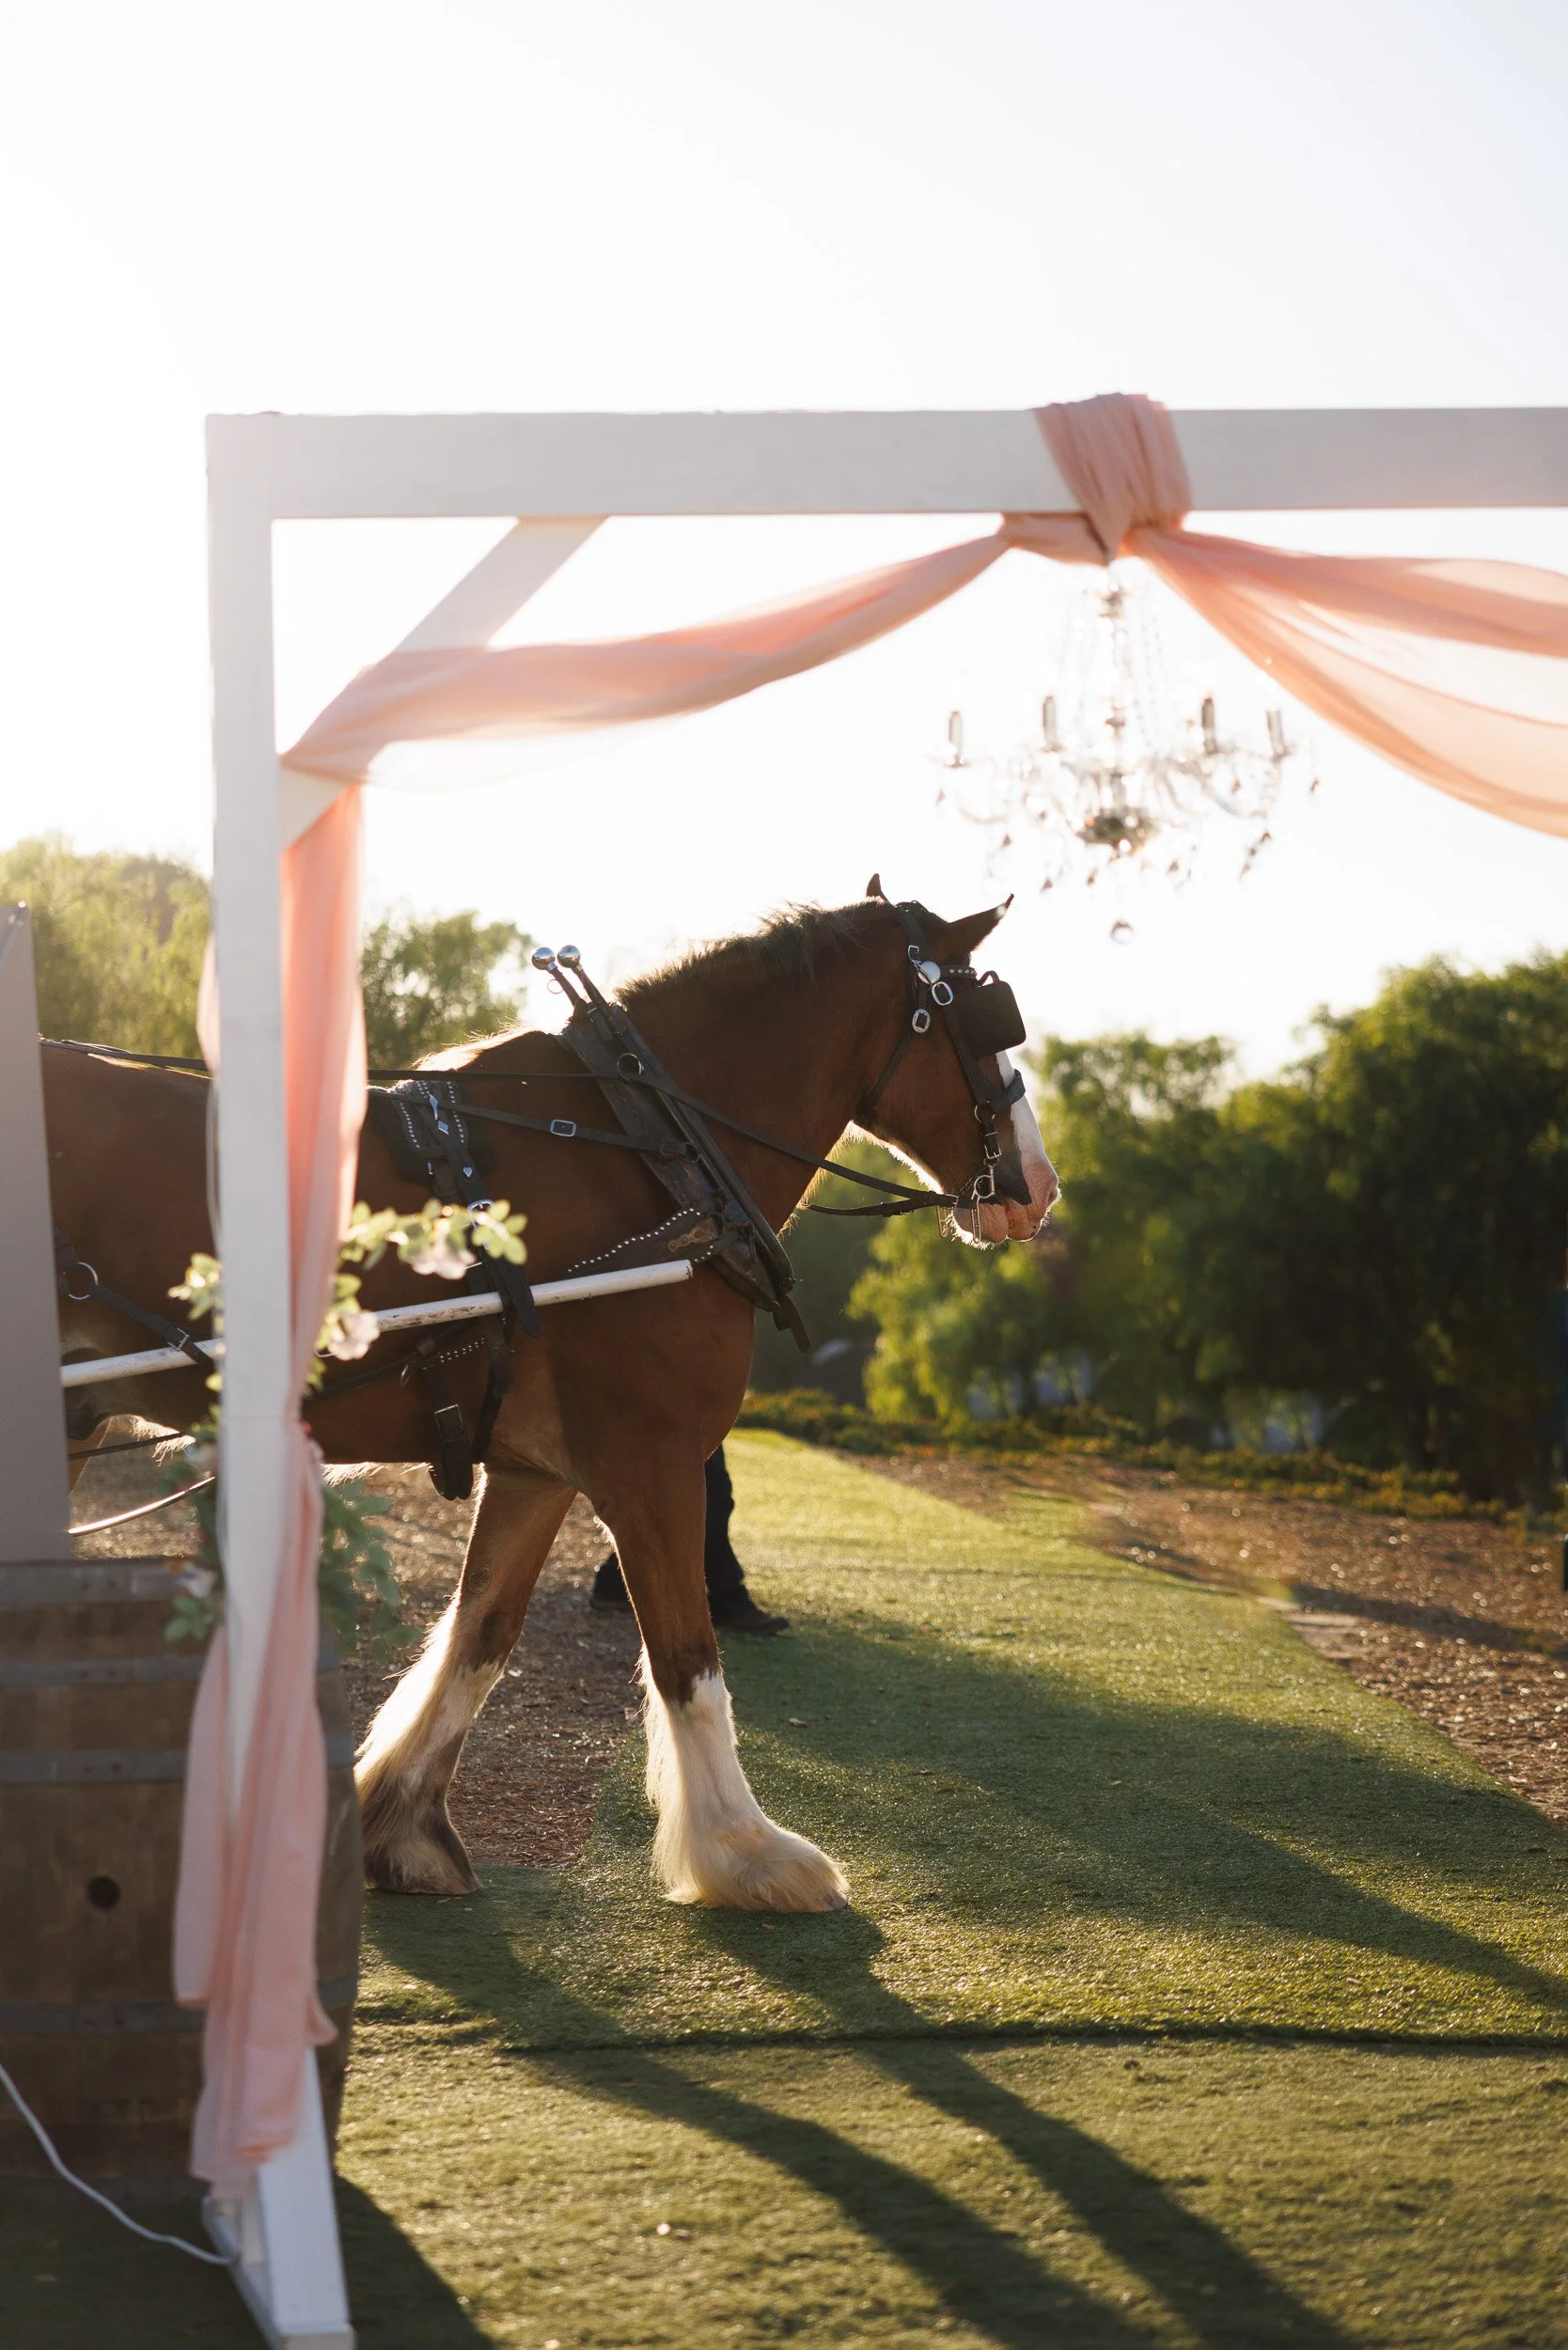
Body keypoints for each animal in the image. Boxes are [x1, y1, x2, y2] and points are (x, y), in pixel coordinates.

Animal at [45, 890, 1058, 1913]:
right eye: (990, 1016)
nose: (1040, 1188)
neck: (654, 1154)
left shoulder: (538, 1473)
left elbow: (482, 1635)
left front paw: (398, 1826)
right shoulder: (651, 1463)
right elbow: (687, 1657)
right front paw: (747, 1852)